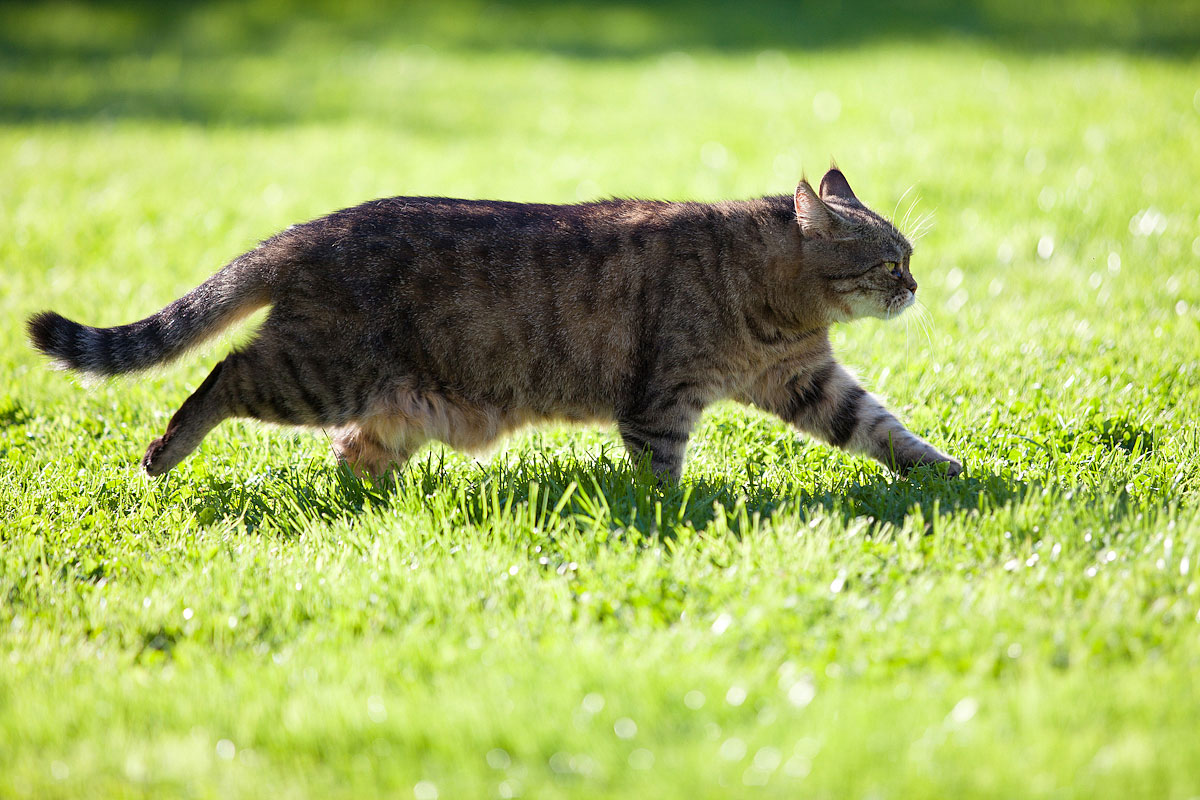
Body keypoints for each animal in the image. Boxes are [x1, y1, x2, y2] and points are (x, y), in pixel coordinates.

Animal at [25, 167, 964, 482]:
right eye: (890, 262)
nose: (917, 284)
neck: (773, 305)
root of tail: (313, 228)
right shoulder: (661, 400)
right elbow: (660, 476)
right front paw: (671, 513)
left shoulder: (808, 380)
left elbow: (883, 428)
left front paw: (947, 471)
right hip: (315, 374)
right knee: (220, 377)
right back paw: (163, 453)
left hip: (386, 406)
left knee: (352, 457)